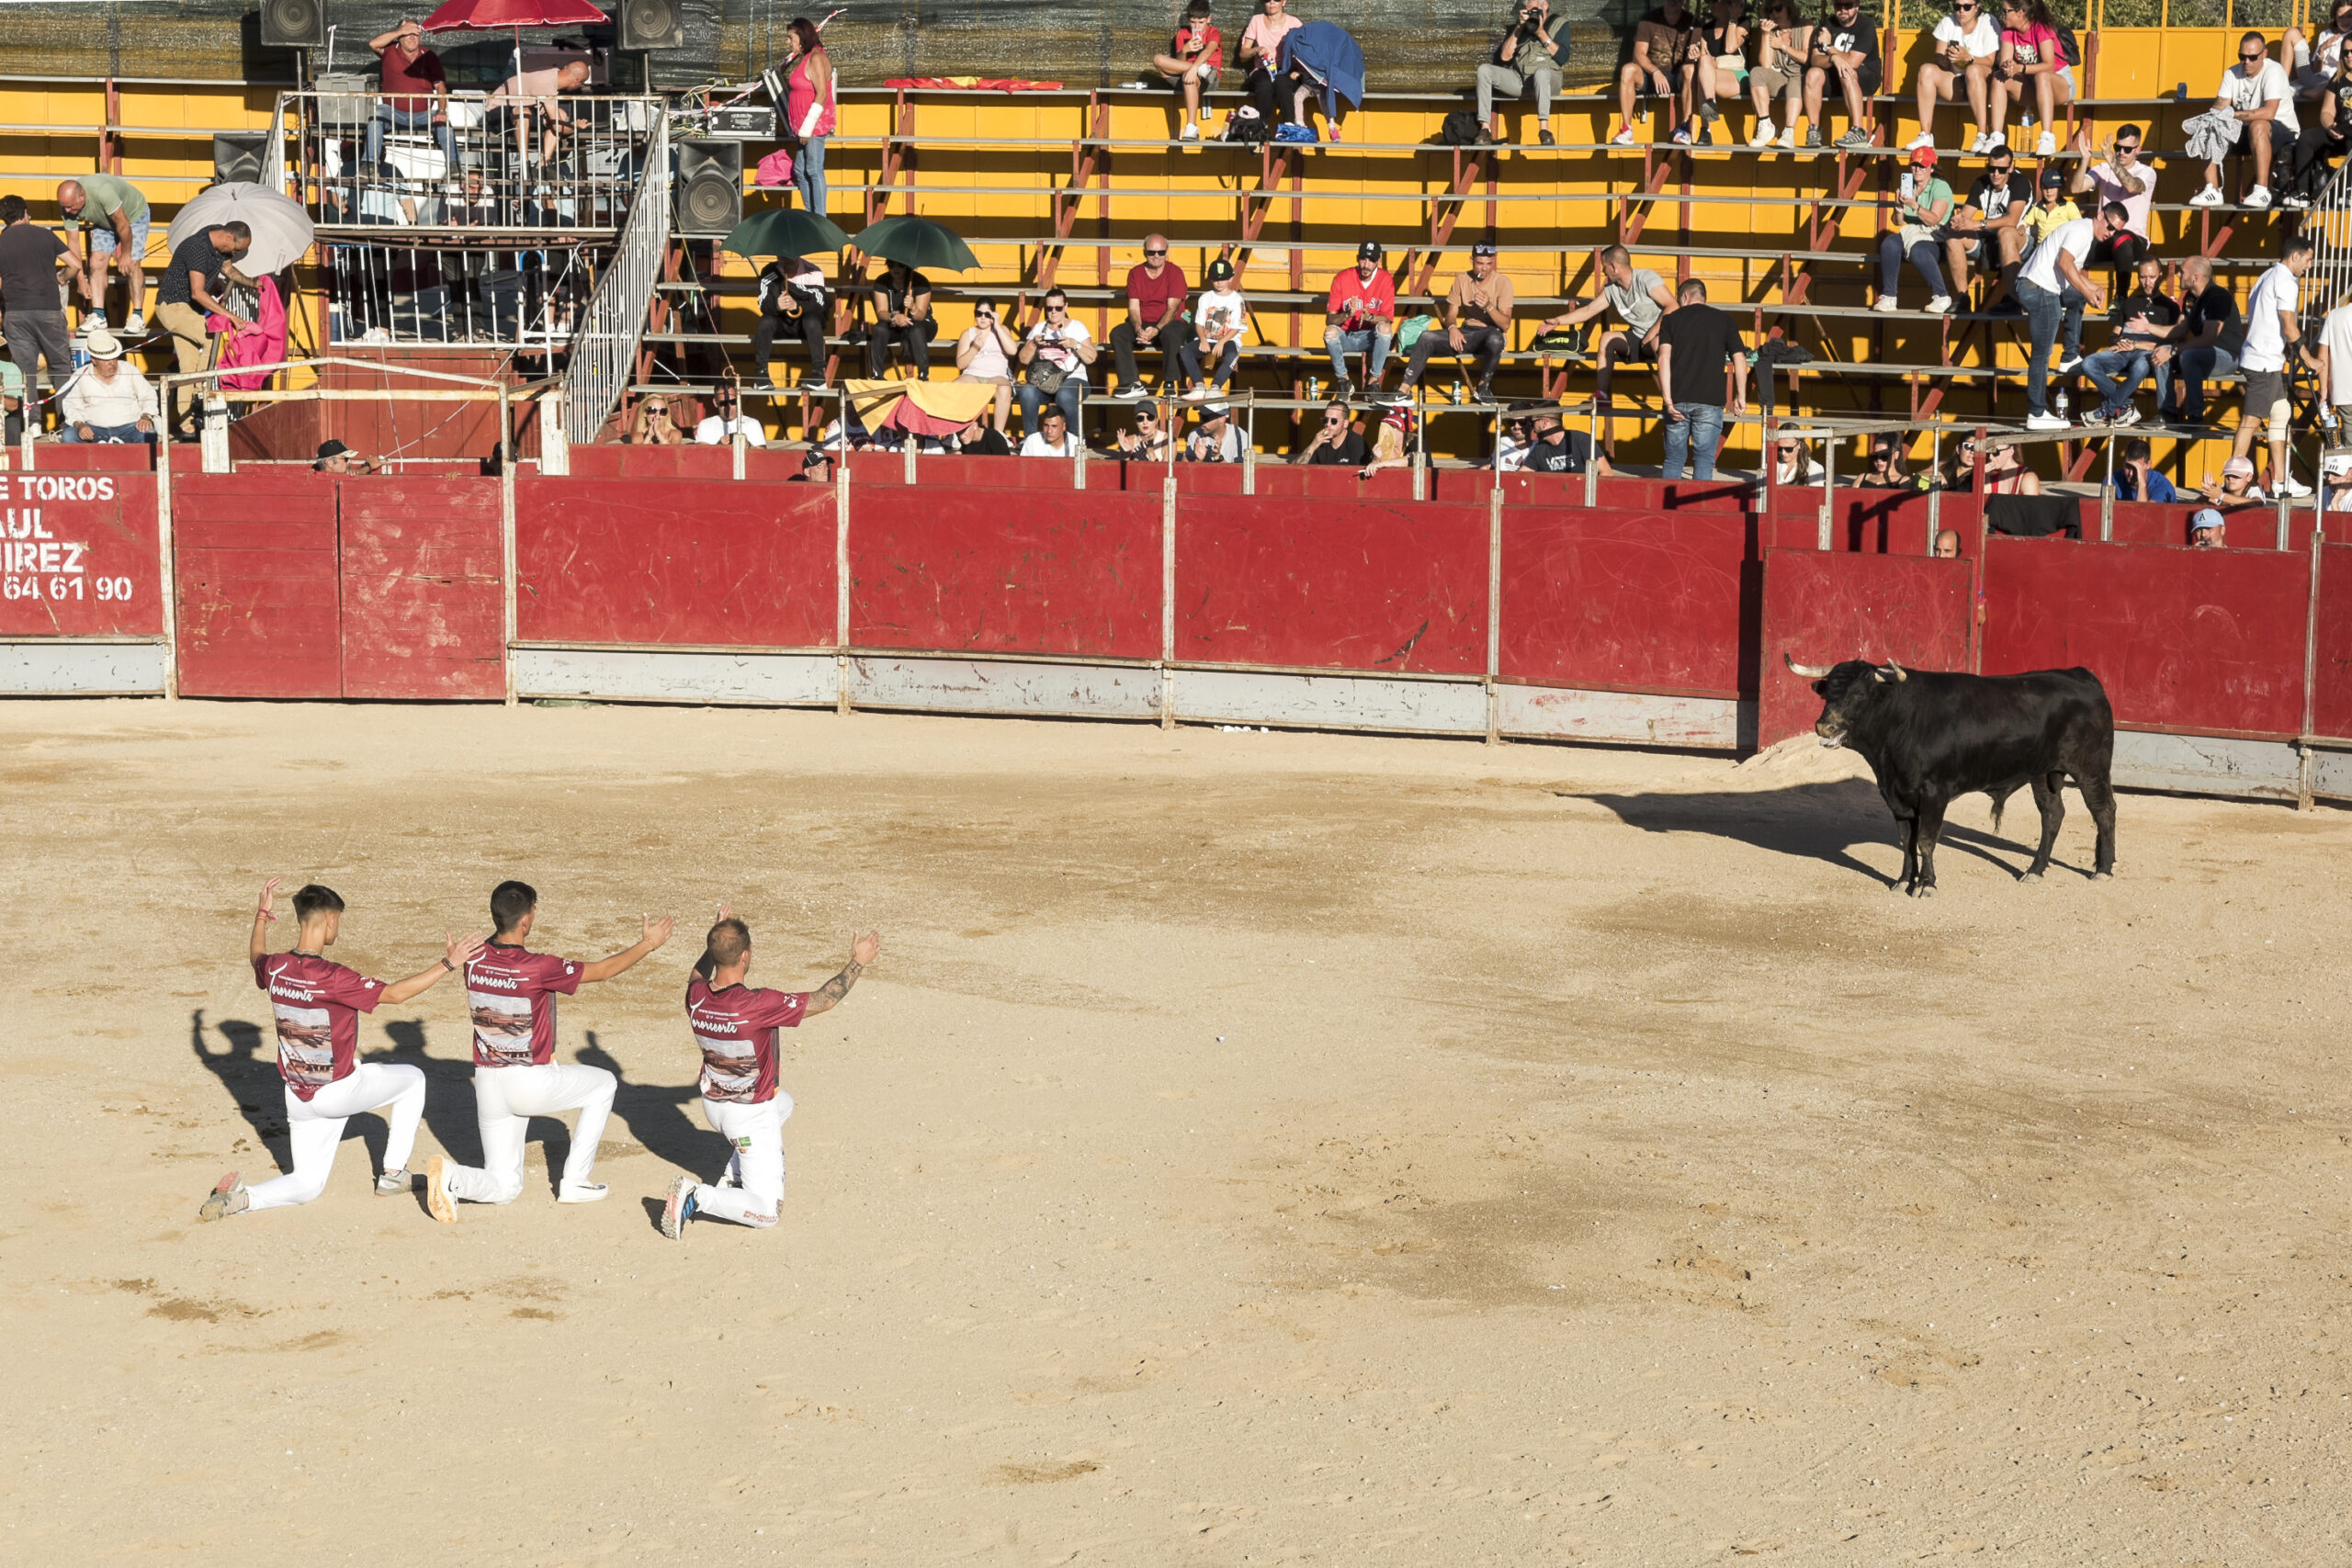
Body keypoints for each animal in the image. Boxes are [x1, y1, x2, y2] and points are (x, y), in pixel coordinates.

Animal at [1787, 658, 2126, 893]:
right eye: (1827, 694)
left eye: (1860, 695)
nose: (1825, 727)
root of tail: (2081, 674)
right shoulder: (1896, 795)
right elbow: (1906, 841)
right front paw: (1903, 881)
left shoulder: (1934, 794)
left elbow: (1926, 840)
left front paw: (1926, 884)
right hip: (2042, 773)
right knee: (2052, 814)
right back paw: (2034, 870)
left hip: (2091, 767)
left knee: (2104, 811)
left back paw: (2103, 870)